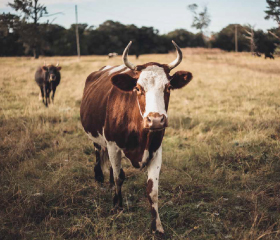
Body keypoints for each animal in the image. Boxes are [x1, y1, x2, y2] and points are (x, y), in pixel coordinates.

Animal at [79, 41, 192, 234]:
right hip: (97, 139)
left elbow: (152, 190)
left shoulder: (156, 150)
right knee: (99, 153)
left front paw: (157, 226)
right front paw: (118, 207)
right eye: (138, 88)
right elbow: (119, 177)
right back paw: (100, 178)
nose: (156, 119)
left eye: (168, 87)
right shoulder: (113, 145)